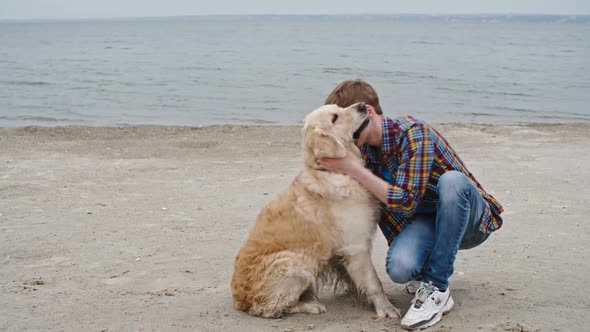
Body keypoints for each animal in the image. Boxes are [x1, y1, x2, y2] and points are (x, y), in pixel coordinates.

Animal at [231, 102, 402, 318]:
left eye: (339, 107)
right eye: (335, 118)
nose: (363, 105)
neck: (331, 171)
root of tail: (239, 301)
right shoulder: (357, 246)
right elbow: (374, 283)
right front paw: (386, 309)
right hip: (296, 263)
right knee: (269, 308)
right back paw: (310, 305)